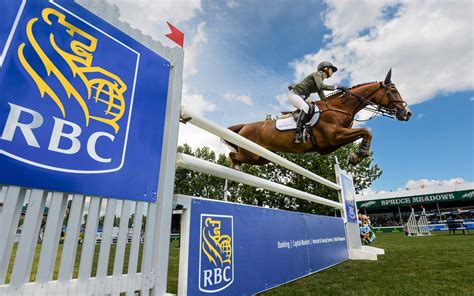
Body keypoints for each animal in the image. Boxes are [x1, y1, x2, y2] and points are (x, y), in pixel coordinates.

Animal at [226, 68, 412, 168]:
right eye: (393, 91)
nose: (408, 113)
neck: (340, 108)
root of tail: (244, 126)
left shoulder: (332, 143)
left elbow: (364, 133)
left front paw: (355, 156)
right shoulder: (334, 136)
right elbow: (366, 131)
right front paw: (358, 155)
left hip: (261, 158)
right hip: (250, 154)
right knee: (233, 156)